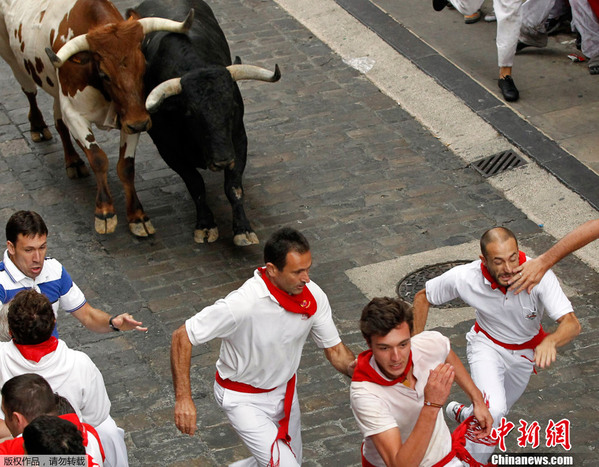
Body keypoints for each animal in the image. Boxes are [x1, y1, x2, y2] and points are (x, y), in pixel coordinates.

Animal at [129, 0, 278, 247]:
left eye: (232, 107)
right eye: (190, 113)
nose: (222, 160)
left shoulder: (238, 140)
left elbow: (234, 187)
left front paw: (243, 230)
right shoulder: (168, 150)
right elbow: (195, 184)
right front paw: (206, 225)